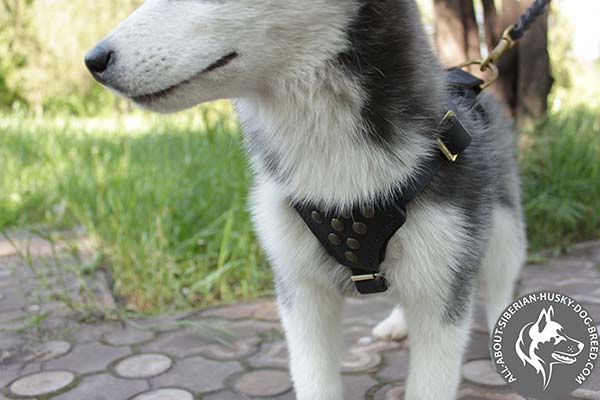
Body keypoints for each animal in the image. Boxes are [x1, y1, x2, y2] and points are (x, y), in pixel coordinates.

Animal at [84, 1, 524, 398]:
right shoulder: (300, 291)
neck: (338, 174)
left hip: (498, 230)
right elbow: (314, 379)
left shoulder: (444, 286)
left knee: (500, 280)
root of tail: (472, 79)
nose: (94, 60)